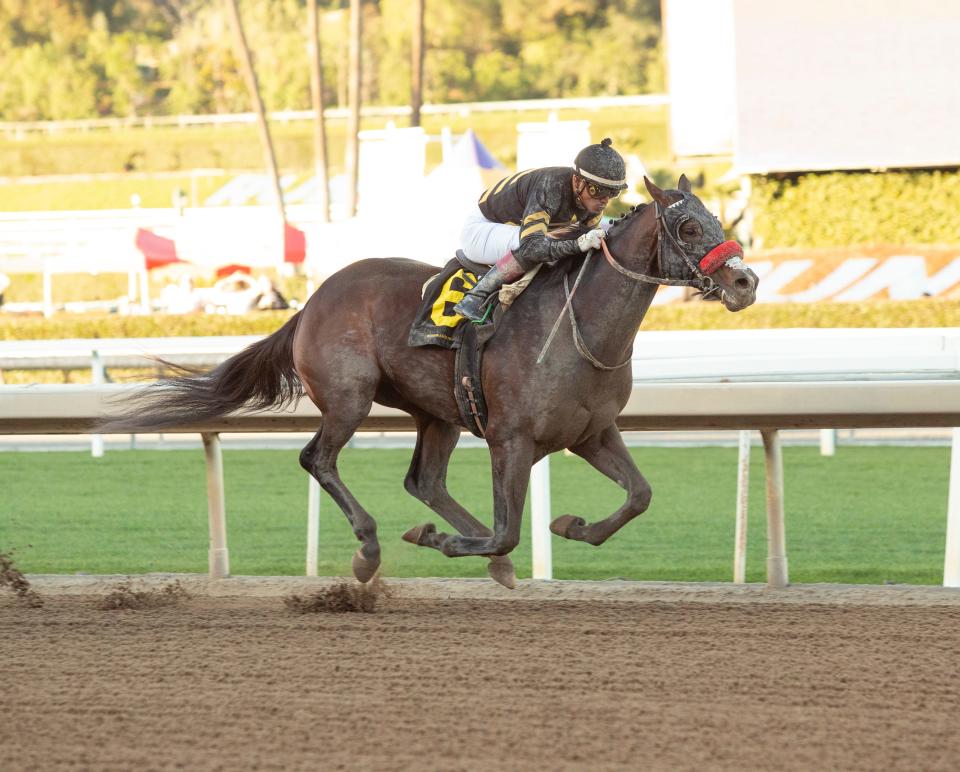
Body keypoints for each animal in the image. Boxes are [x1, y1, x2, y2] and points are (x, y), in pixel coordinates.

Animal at [103, 176, 756, 584]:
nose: (746, 282)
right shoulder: (511, 439)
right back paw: (370, 548)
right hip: (349, 398)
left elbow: (638, 496)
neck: (579, 329)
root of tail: (311, 300)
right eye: (688, 227)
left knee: (424, 481)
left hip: (438, 413)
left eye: (717, 218)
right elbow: (508, 529)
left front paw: (571, 525)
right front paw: (443, 542)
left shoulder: (592, 433)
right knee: (319, 458)